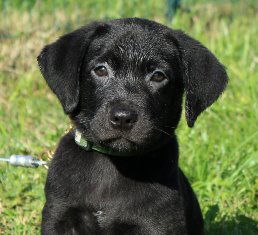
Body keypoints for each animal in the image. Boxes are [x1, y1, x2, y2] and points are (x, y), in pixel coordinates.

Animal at [37, 17, 227, 234]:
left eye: (158, 76)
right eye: (101, 70)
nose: (122, 118)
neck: (113, 163)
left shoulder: (158, 224)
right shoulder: (59, 214)